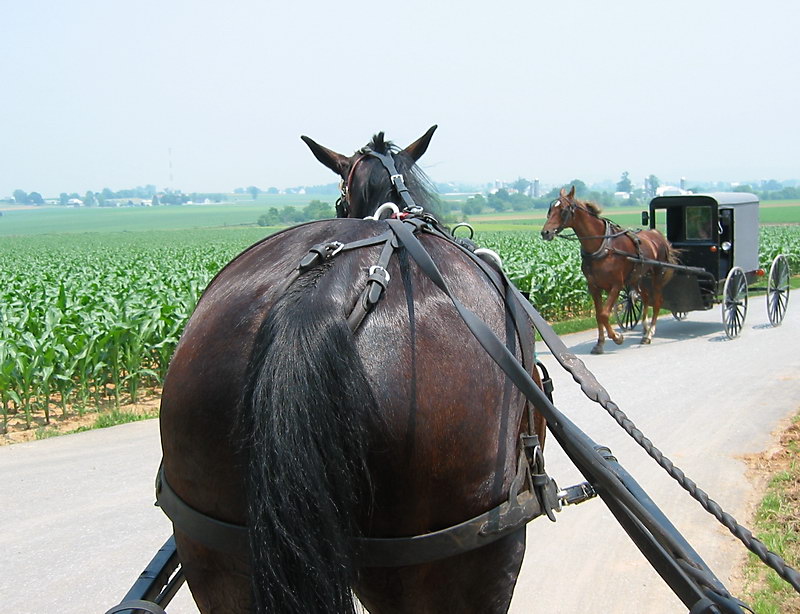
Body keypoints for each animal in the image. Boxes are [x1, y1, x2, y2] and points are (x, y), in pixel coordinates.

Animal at [540, 186, 680, 356]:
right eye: (551, 209)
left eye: (563, 209)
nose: (546, 232)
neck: (602, 246)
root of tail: (656, 234)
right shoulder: (593, 287)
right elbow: (598, 315)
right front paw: (599, 344)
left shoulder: (616, 285)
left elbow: (604, 314)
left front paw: (617, 337)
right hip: (639, 276)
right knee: (646, 298)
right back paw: (645, 328)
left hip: (656, 273)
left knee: (657, 301)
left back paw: (649, 333)